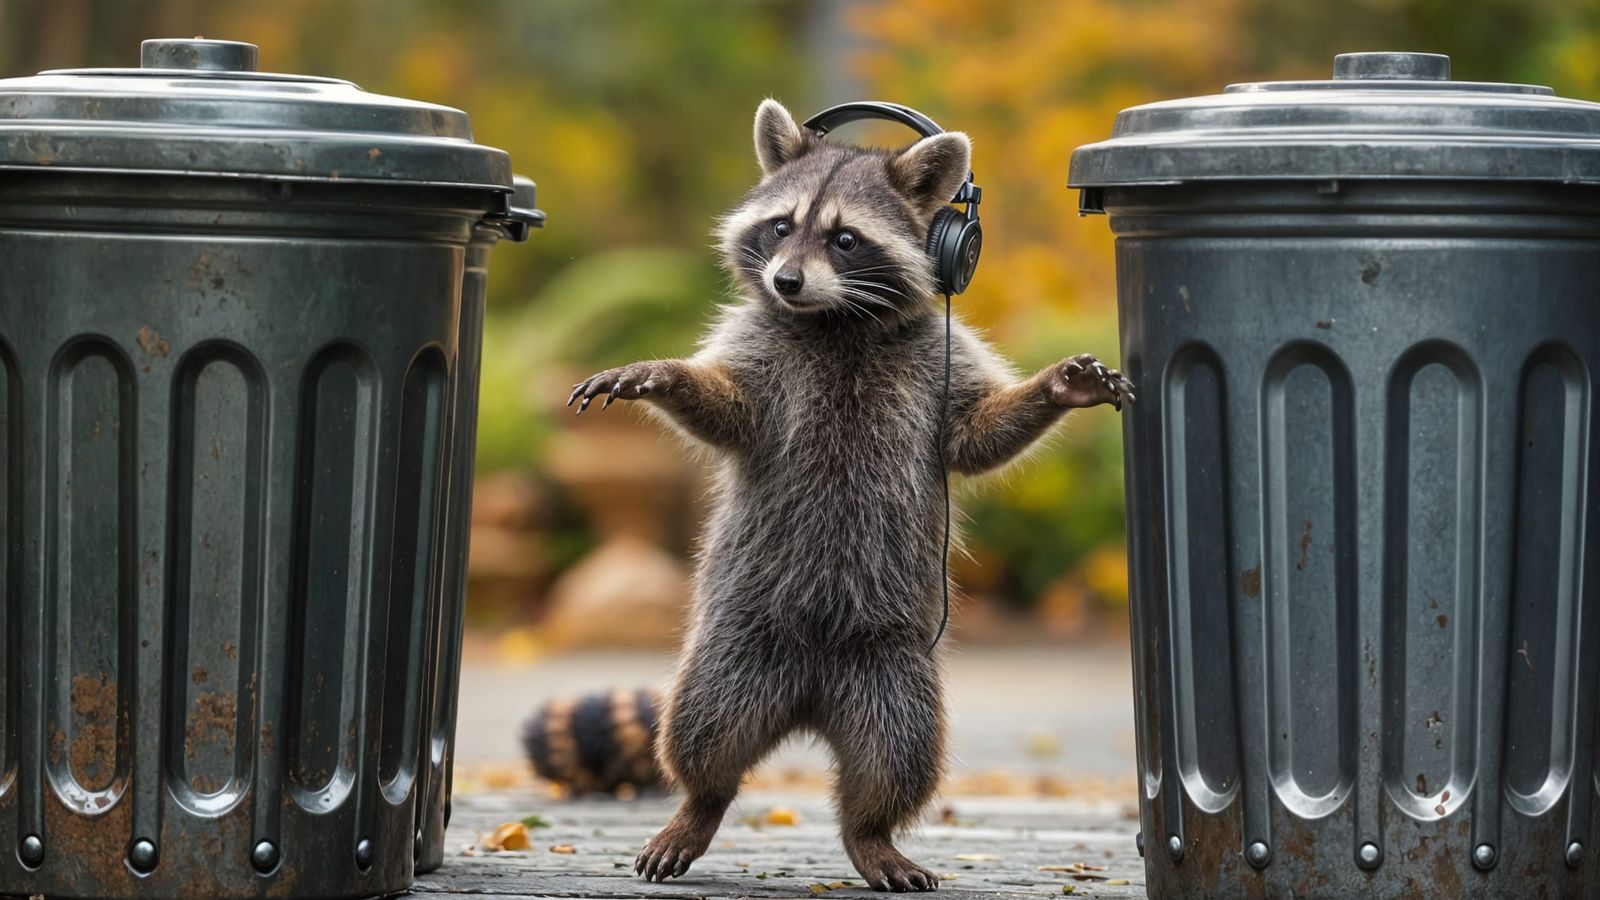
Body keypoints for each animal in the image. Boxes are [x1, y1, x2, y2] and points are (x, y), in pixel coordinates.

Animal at [567, 99, 1132, 892]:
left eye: (844, 239)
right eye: (781, 227)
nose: (785, 282)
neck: (837, 319)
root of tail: (809, 700)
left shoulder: (940, 360)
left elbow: (974, 438)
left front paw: (1055, 389)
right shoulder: (760, 349)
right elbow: (728, 410)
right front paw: (665, 374)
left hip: (895, 669)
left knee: (899, 758)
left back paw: (871, 832)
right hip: (733, 644)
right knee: (703, 728)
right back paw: (700, 803)